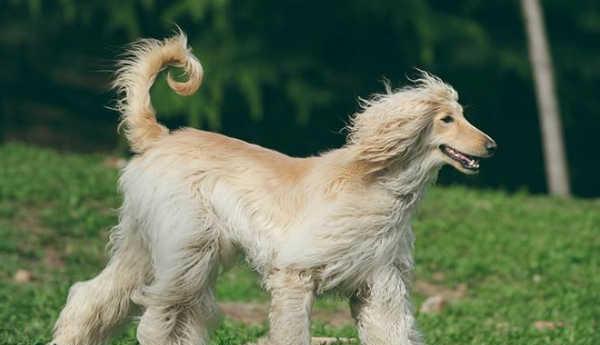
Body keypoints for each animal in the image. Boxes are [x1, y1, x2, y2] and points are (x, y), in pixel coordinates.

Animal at [51, 32, 494, 344]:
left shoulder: (380, 285)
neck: (380, 187)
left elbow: (392, 331)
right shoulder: (294, 275)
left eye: (463, 115)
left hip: (149, 242)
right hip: (186, 246)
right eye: (447, 119)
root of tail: (159, 137)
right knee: (160, 316)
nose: (491, 145)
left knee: (91, 296)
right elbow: (292, 334)